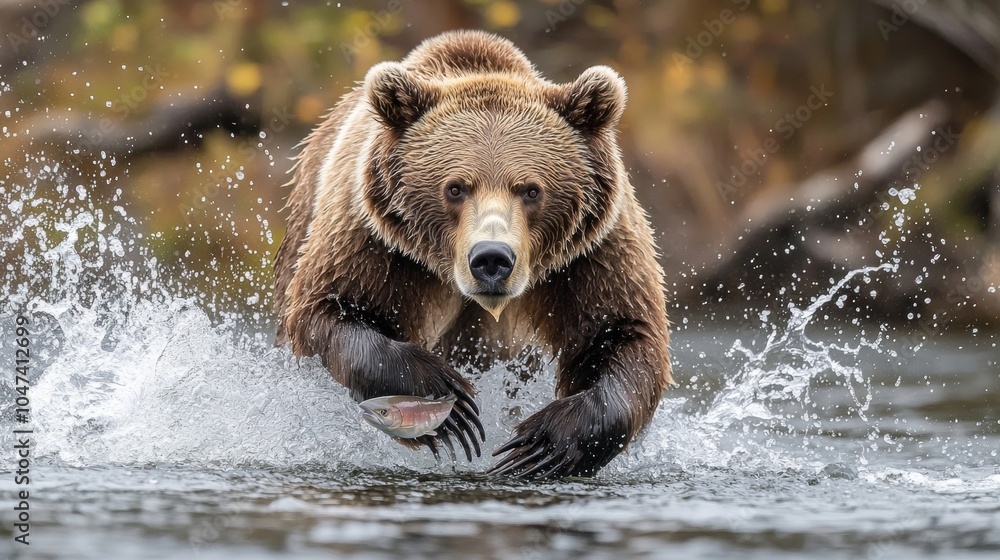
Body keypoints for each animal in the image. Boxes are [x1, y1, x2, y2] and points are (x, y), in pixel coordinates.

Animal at [274, 30, 671, 478]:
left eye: (531, 189)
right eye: (455, 187)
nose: (492, 259)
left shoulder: (590, 252)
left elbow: (621, 332)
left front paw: (543, 443)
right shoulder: (375, 240)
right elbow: (330, 309)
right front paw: (448, 400)